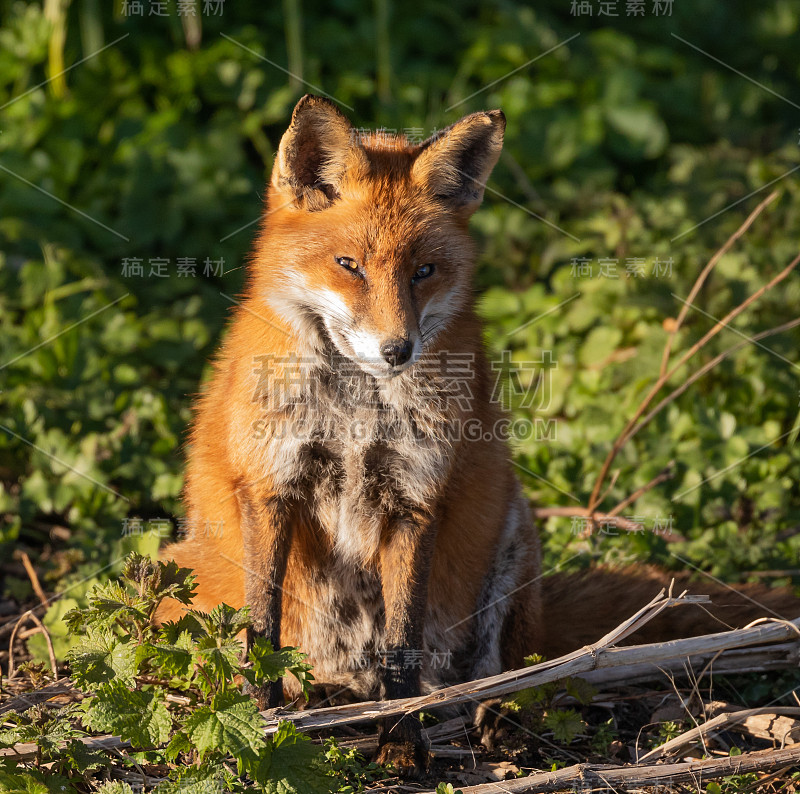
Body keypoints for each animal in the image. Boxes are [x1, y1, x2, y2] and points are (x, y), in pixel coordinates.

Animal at [159, 93, 796, 772]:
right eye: (348, 266)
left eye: (425, 270)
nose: (397, 350)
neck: (355, 411)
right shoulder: (271, 487)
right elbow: (262, 627)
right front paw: (259, 720)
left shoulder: (413, 500)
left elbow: (402, 645)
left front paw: (400, 739)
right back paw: (319, 698)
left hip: (512, 544)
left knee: (506, 670)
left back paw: (500, 718)